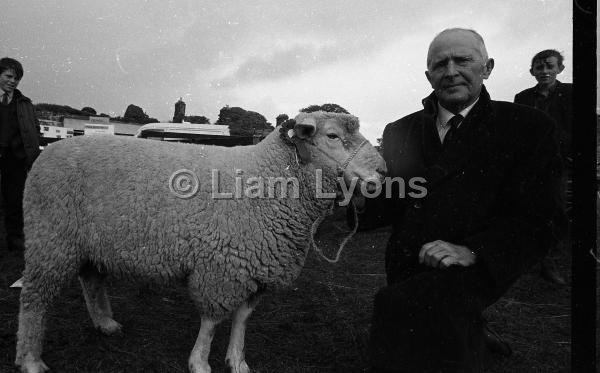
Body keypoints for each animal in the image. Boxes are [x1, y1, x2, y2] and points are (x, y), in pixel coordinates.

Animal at [16, 110, 386, 372]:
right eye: (333, 135)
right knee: (35, 298)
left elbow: (241, 319)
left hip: (86, 242)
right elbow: (211, 321)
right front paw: (200, 362)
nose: (383, 171)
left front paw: (237, 361)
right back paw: (31, 359)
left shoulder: (257, 267)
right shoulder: (221, 267)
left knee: (91, 279)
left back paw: (106, 324)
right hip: (50, 238)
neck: (268, 177)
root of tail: (50, 149)